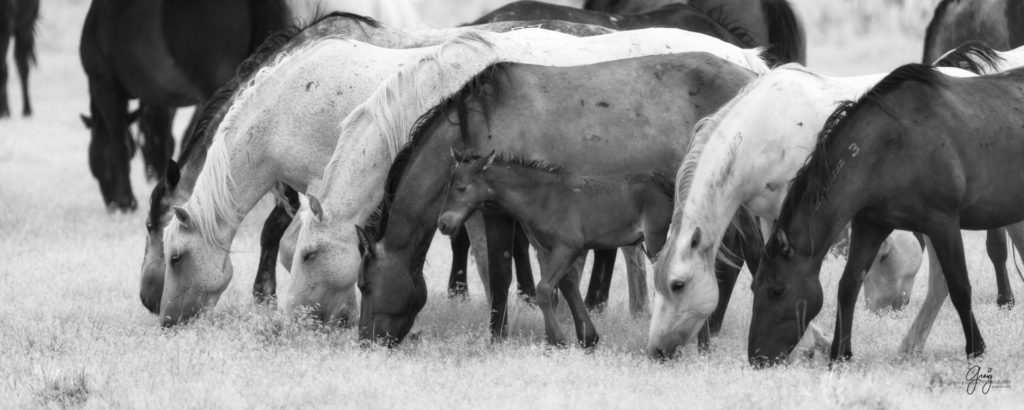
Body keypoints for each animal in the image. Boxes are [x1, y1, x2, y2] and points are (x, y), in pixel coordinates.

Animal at [78, 0, 288, 211]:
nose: (111, 202)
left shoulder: (104, 84)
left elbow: (120, 143)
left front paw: (127, 201)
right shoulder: (162, 99)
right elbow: (164, 141)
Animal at [436, 151, 675, 348]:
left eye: (461, 188)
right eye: (448, 187)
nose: (443, 224)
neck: (541, 199)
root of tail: (668, 184)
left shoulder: (568, 247)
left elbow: (543, 290)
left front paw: (558, 340)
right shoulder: (546, 250)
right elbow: (564, 288)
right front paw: (585, 337)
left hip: (656, 242)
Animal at [745, 65, 1024, 366]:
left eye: (778, 290)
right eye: (753, 287)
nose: (757, 358)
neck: (891, 146)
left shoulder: (944, 223)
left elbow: (960, 287)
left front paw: (976, 348)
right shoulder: (871, 226)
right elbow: (848, 286)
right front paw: (840, 354)